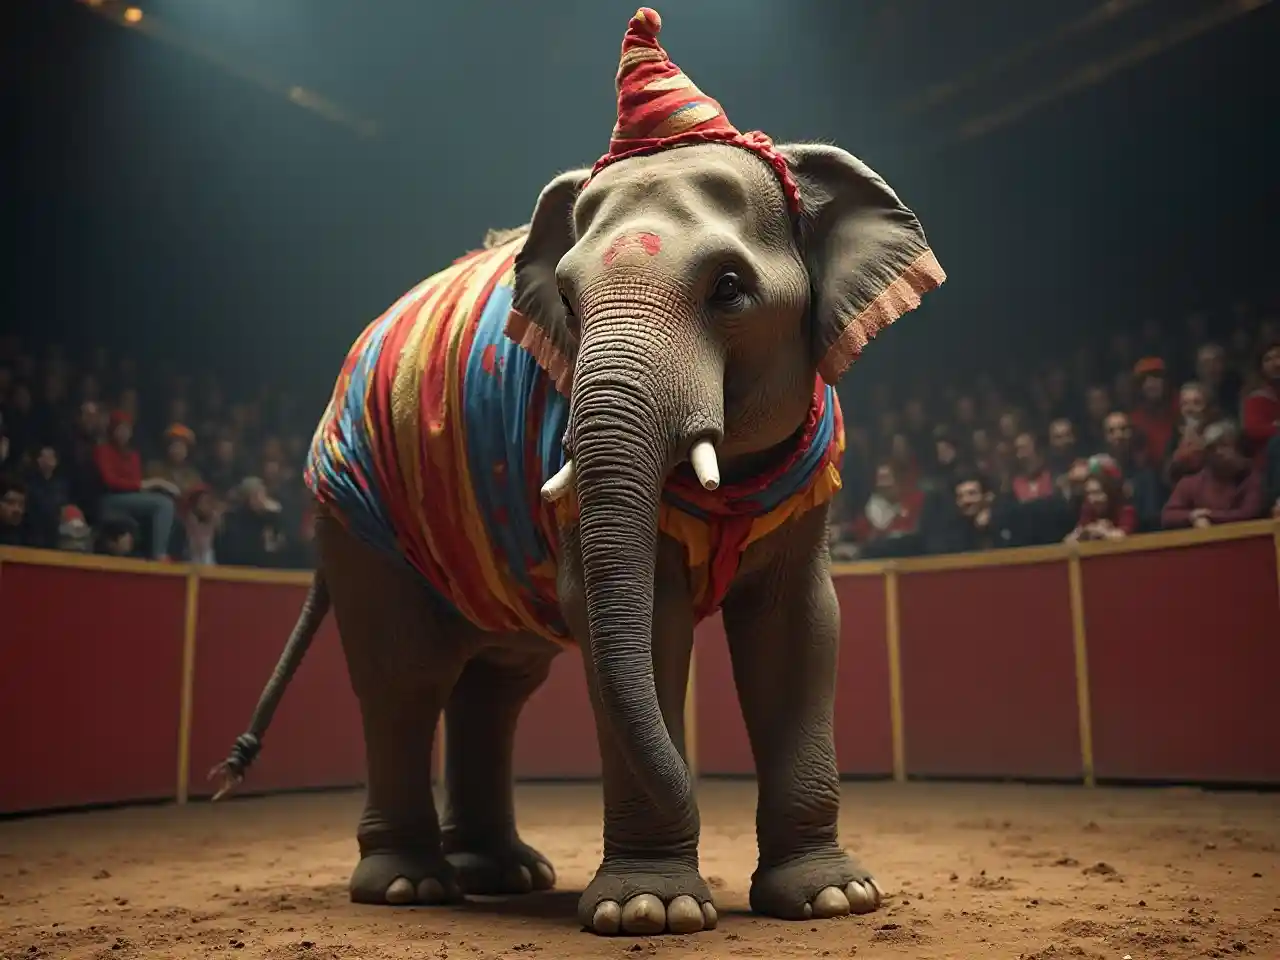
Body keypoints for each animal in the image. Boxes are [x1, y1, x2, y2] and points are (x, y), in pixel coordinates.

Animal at [213, 6, 944, 938]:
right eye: (565, 298)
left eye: (730, 289)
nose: (697, 797)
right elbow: (640, 628)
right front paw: (652, 910)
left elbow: (799, 630)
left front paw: (831, 899)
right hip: (355, 516)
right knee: (405, 676)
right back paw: (410, 884)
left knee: (496, 683)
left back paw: (503, 873)